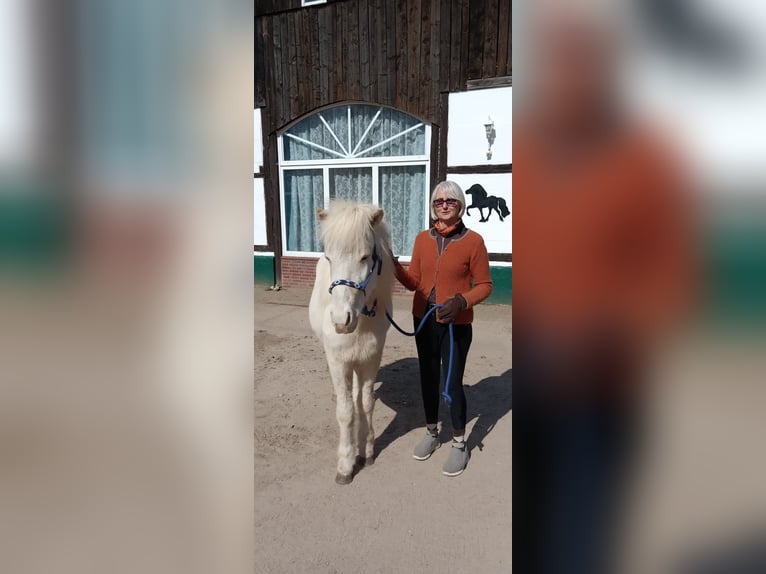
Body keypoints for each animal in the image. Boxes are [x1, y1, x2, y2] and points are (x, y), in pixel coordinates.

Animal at [308, 201, 394, 485]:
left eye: (365, 257)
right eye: (330, 258)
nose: (340, 320)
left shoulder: (370, 359)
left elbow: (365, 403)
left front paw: (366, 451)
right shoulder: (338, 362)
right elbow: (345, 412)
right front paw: (346, 463)